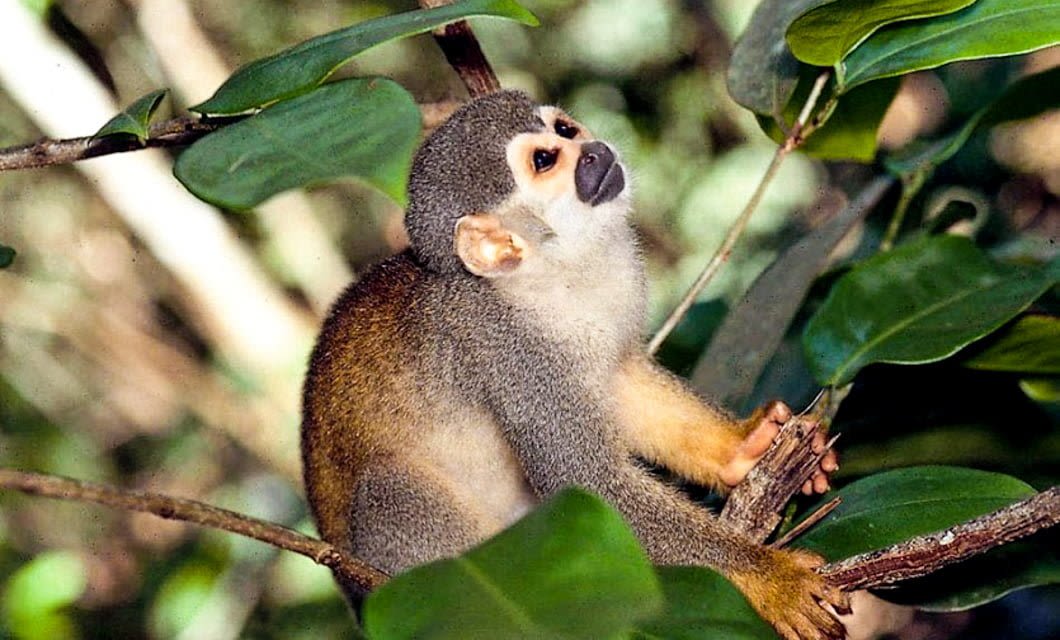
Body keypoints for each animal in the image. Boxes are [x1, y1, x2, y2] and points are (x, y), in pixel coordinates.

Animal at [301, 90, 848, 640]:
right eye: (545, 161)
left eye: (565, 129)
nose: (592, 150)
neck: (549, 275)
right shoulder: (510, 351)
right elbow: (588, 481)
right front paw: (769, 576)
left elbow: (622, 382)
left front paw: (744, 448)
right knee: (387, 491)